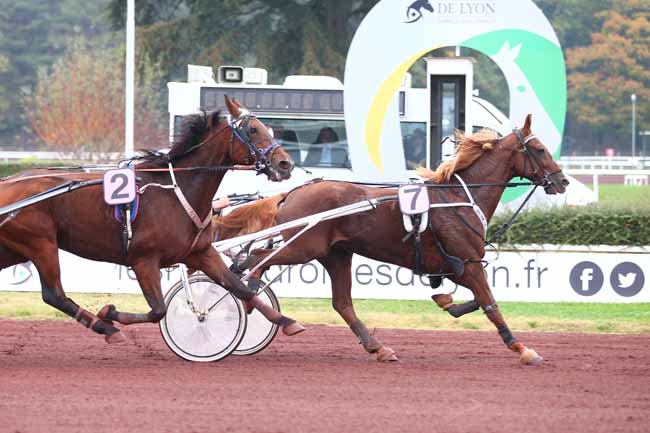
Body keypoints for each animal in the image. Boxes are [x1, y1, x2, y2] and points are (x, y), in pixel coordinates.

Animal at [0, 95, 305, 344]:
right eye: (252, 130)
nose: (285, 164)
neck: (176, 190)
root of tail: (7, 183)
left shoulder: (200, 252)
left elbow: (239, 287)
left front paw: (289, 322)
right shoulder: (144, 259)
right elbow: (159, 310)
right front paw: (110, 312)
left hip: (15, 249)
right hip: (40, 243)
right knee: (55, 295)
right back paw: (106, 329)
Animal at [215, 114, 569, 364]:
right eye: (540, 150)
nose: (562, 181)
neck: (458, 198)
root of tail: (293, 191)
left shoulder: (456, 266)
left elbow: (471, 302)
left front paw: (447, 301)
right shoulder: (469, 265)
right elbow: (491, 305)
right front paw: (522, 348)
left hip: (335, 254)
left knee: (341, 303)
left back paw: (378, 347)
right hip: (304, 247)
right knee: (254, 261)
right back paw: (254, 299)